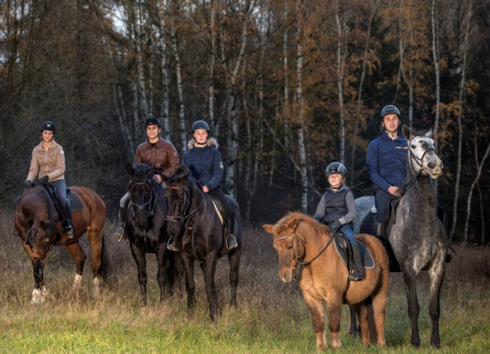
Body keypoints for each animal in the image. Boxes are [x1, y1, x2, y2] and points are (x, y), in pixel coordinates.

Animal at [124, 163, 182, 304]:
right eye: (132, 191)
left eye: (148, 191)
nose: (141, 222)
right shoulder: (136, 248)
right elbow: (142, 276)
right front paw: (144, 303)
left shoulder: (161, 247)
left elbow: (161, 276)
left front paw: (162, 302)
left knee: (177, 269)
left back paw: (180, 295)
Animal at [164, 166, 242, 320]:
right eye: (165, 196)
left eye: (180, 197)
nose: (172, 229)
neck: (194, 222)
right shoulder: (186, 256)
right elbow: (190, 285)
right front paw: (190, 313)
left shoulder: (211, 256)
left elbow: (210, 285)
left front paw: (213, 316)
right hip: (201, 260)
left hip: (235, 252)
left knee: (233, 278)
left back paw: (233, 306)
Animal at [264, 212, 390, 350]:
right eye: (276, 248)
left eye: (290, 246)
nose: (284, 275)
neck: (316, 263)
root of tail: (377, 242)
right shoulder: (311, 298)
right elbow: (318, 323)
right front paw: (321, 347)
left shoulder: (333, 296)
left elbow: (334, 322)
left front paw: (336, 347)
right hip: (357, 298)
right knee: (364, 317)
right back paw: (365, 345)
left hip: (380, 292)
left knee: (379, 316)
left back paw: (381, 345)